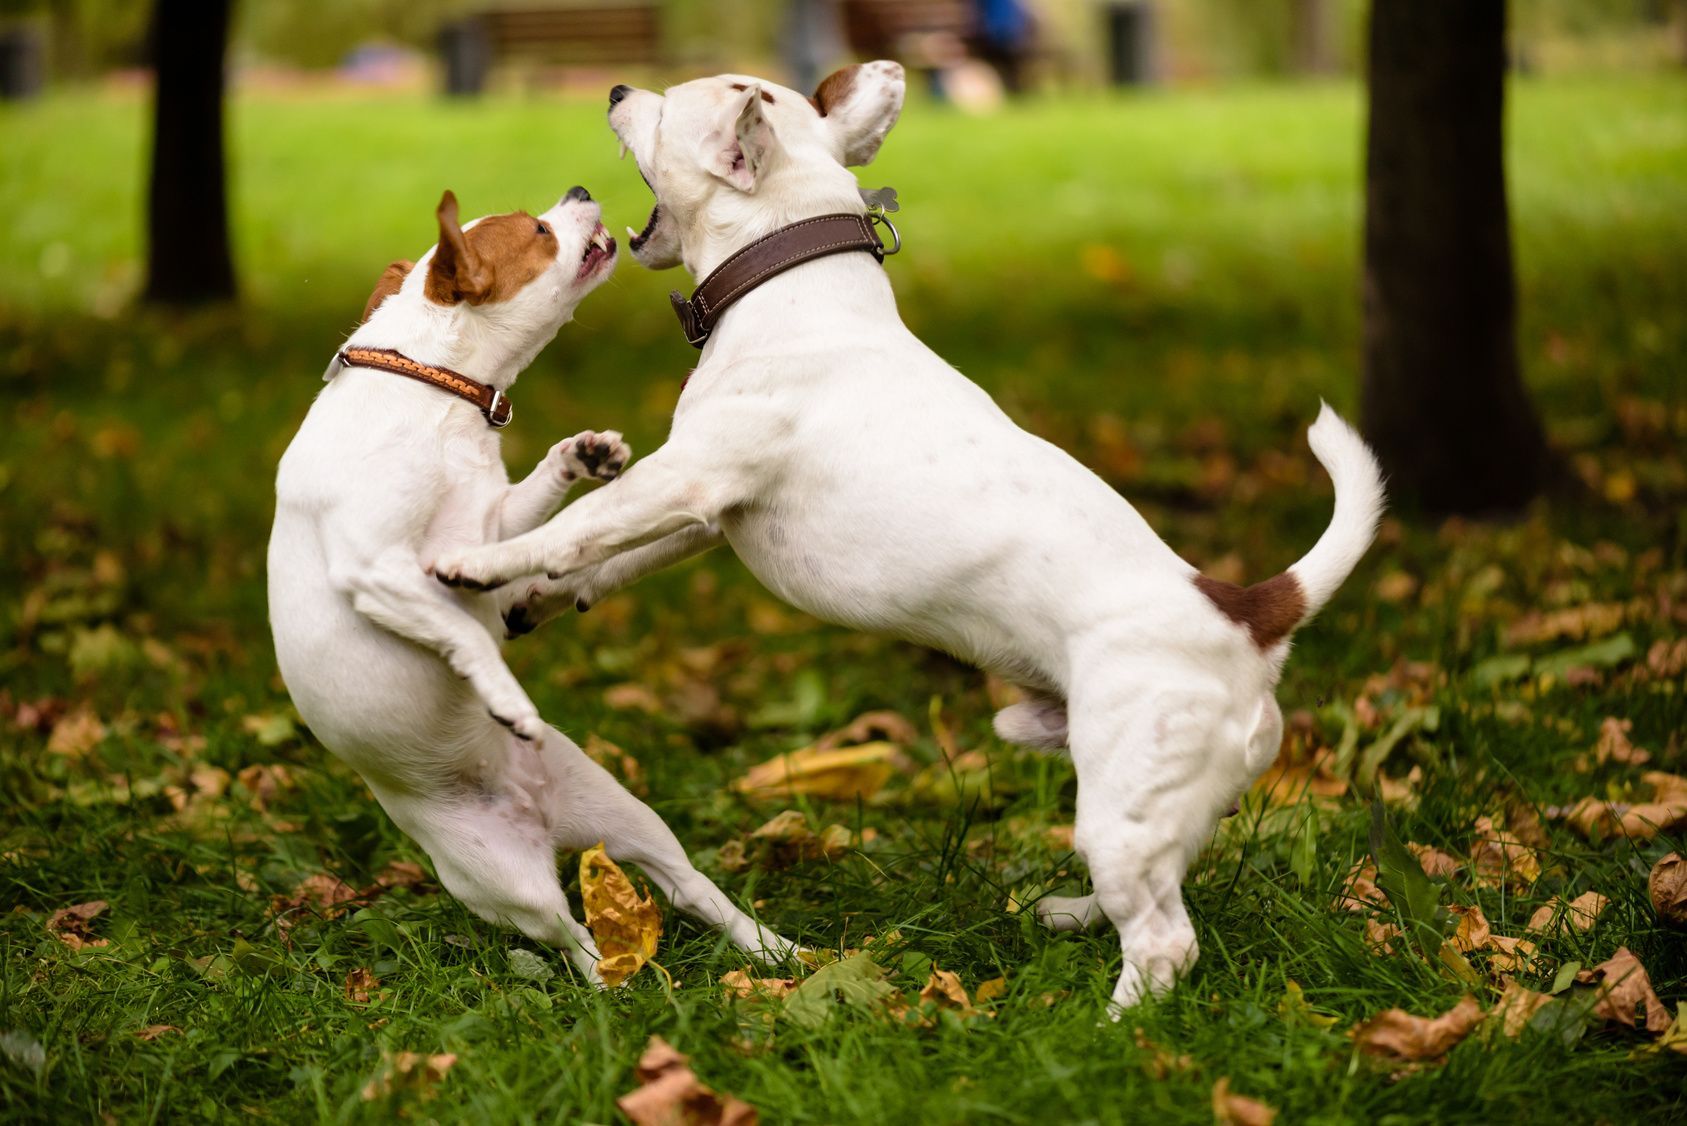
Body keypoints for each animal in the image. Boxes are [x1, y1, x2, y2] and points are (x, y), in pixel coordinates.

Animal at [266, 187, 792, 979]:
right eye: (540, 231)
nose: (579, 192)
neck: (432, 396)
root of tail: (538, 816)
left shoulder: (486, 535)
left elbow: (530, 511)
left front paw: (583, 455)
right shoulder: (377, 566)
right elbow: (465, 637)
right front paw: (508, 700)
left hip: (624, 814)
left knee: (689, 888)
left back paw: (773, 949)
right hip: (506, 882)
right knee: (575, 941)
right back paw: (618, 982)